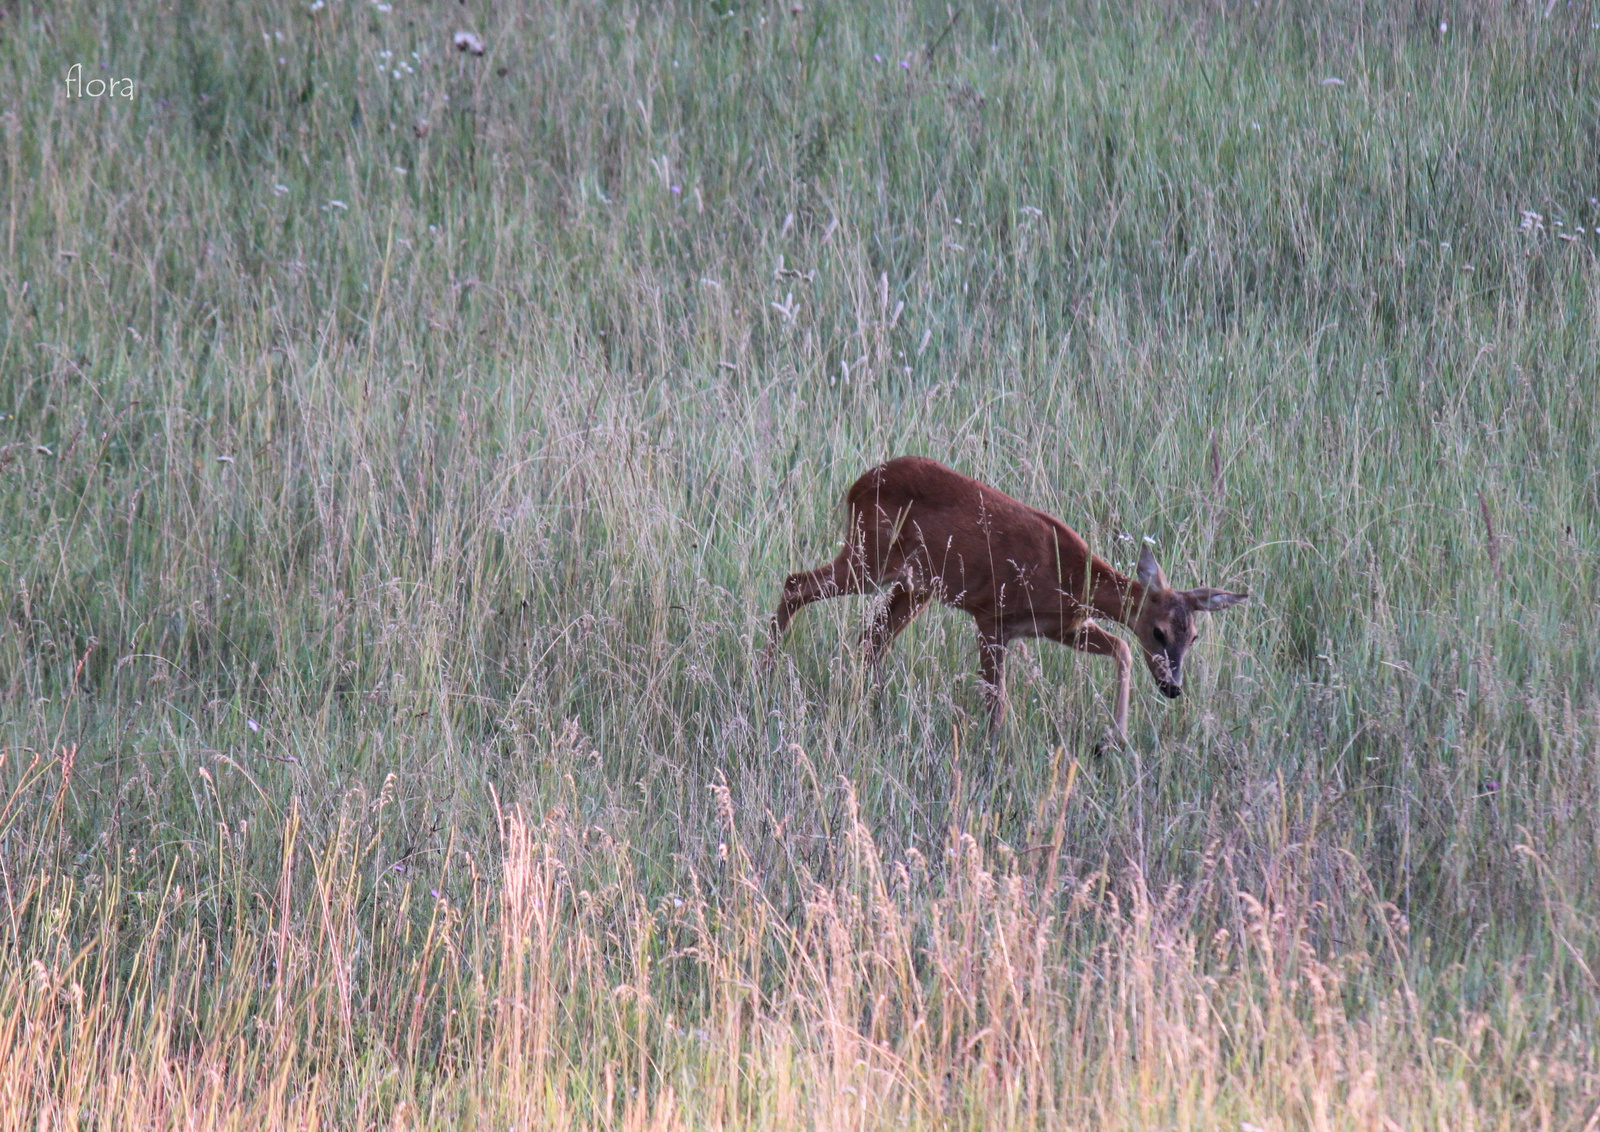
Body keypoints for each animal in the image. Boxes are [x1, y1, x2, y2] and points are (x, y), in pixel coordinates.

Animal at [761, 454, 1248, 738]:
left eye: (1195, 636)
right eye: (1160, 630)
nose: (1172, 687)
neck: (1071, 578)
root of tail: (857, 484)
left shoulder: (1061, 627)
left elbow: (1122, 648)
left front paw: (1114, 739)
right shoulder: (991, 616)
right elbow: (997, 704)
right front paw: (991, 755)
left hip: (914, 584)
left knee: (870, 638)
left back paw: (867, 706)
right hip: (871, 556)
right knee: (796, 583)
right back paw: (767, 669)